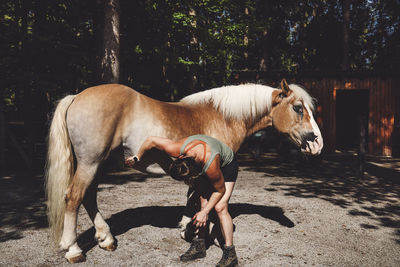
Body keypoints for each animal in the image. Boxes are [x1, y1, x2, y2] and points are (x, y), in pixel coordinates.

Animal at [45, 79, 324, 264]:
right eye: (298, 108)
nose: (317, 143)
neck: (223, 116)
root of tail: (76, 96)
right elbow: (208, 204)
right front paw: (199, 233)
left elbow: (194, 200)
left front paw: (187, 228)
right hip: (90, 162)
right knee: (74, 197)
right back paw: (73, 249)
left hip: (97, 163)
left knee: (89, 197)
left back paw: (106, 239)